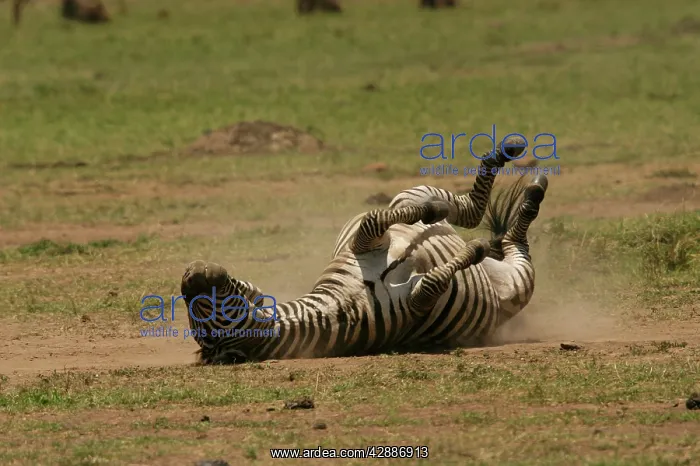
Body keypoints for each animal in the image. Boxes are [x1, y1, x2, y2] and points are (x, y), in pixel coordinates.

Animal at [180, 180, 548, 364]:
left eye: (196, 308)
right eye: (203, 316)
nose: (190, 273)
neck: (335, 307)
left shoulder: (364, 243)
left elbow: (374, 217)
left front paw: (429, 213)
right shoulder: (414, 304)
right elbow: (432, 282)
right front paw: (472, 250)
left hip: (412, 193)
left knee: (462, 207)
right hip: (516, 285)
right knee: (513, 242)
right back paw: (528, 197)